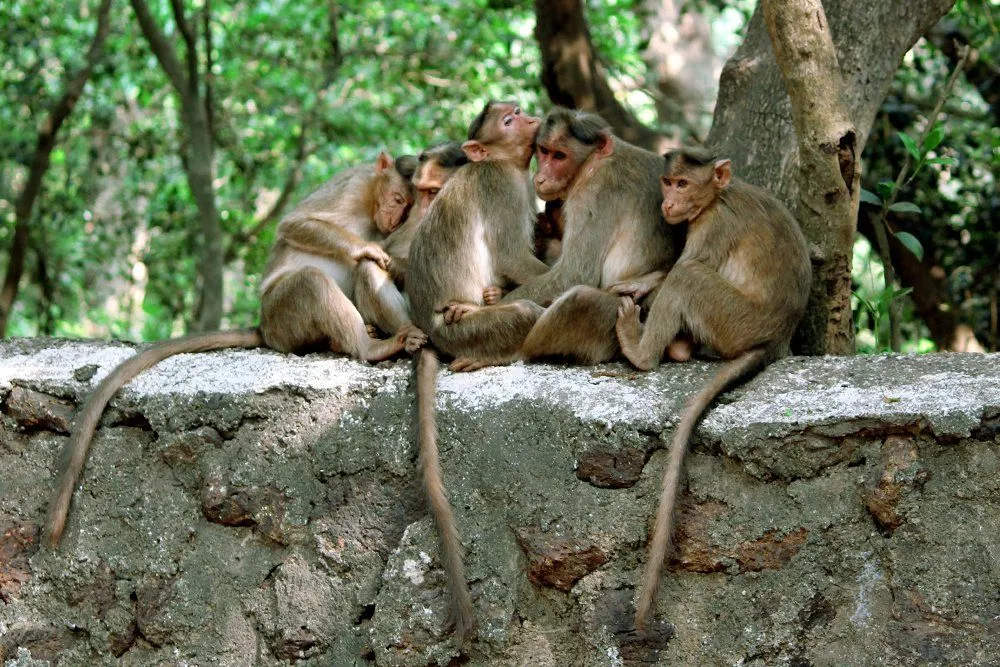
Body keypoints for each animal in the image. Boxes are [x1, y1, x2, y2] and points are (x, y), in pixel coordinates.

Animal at [43, 152, 419, 547]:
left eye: (406, 209)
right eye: (397, 199)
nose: (393, 217)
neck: (370, 203)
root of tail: (264, 328)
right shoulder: (352, 186)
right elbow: (295, 223)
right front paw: (366, 249)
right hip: (282, 315)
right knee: (310, 283)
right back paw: (370, 346)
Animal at [406, 101, 550, 645]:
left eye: (518, 111)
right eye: (508, 121)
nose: (530, 118)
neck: (505, 165)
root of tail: (429, 331)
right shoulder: (504, 189)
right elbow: (515, 257)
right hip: (463, 332)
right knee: (522, 314)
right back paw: (496, 352)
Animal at [442, 107, 676, 371]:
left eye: (560, 156)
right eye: (544, 151)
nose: (541, 177)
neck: (592, 164)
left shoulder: (591, 196)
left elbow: (574, 275)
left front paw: (478, 307)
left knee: (580, 299)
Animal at [614, 148, 812, 630]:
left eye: (684, 184)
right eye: (668, 181)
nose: (668, 203)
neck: (716, 198)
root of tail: (775, 339)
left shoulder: (713, 225)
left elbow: (682, 267)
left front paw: (646, 284)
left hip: (734, 319)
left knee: (690, 275)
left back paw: (643, 351)